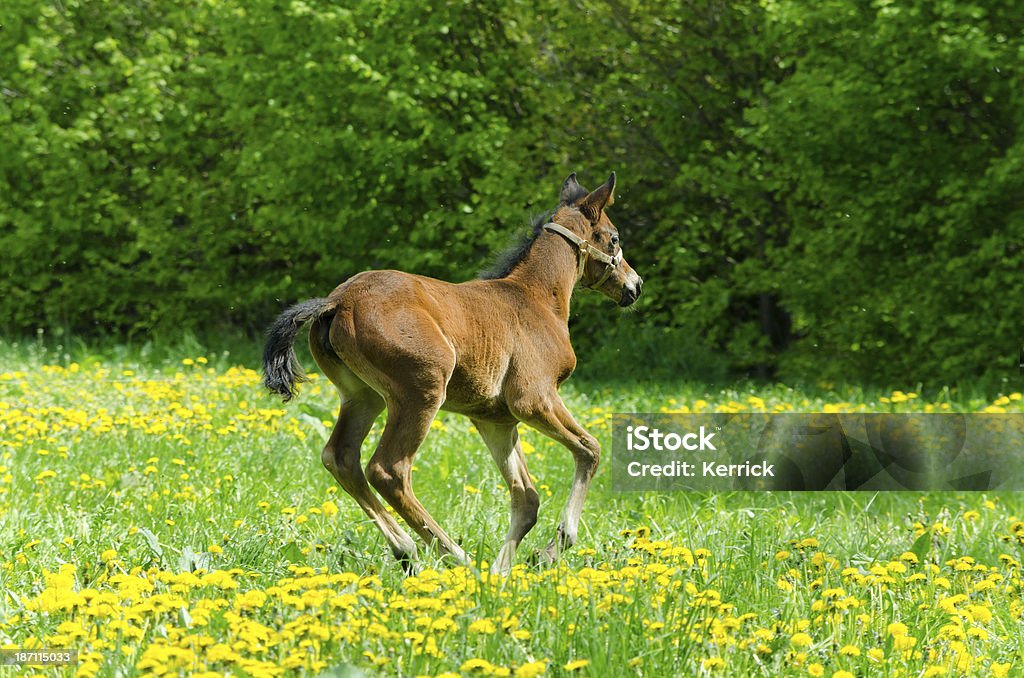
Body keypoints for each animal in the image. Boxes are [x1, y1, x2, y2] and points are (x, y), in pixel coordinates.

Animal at [262, 173, 638, 577]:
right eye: (613, 237)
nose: (635, 285)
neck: (536, 298)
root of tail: (338, 301)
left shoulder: (495, 419)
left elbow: (526, 498)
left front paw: (501, 572)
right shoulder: (533, 400)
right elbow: (590, 450)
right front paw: (552, 549)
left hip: (364, 397)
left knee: (341, 457)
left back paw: (407, 550)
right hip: (421, 392)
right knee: (388, 470)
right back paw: (454, 555)